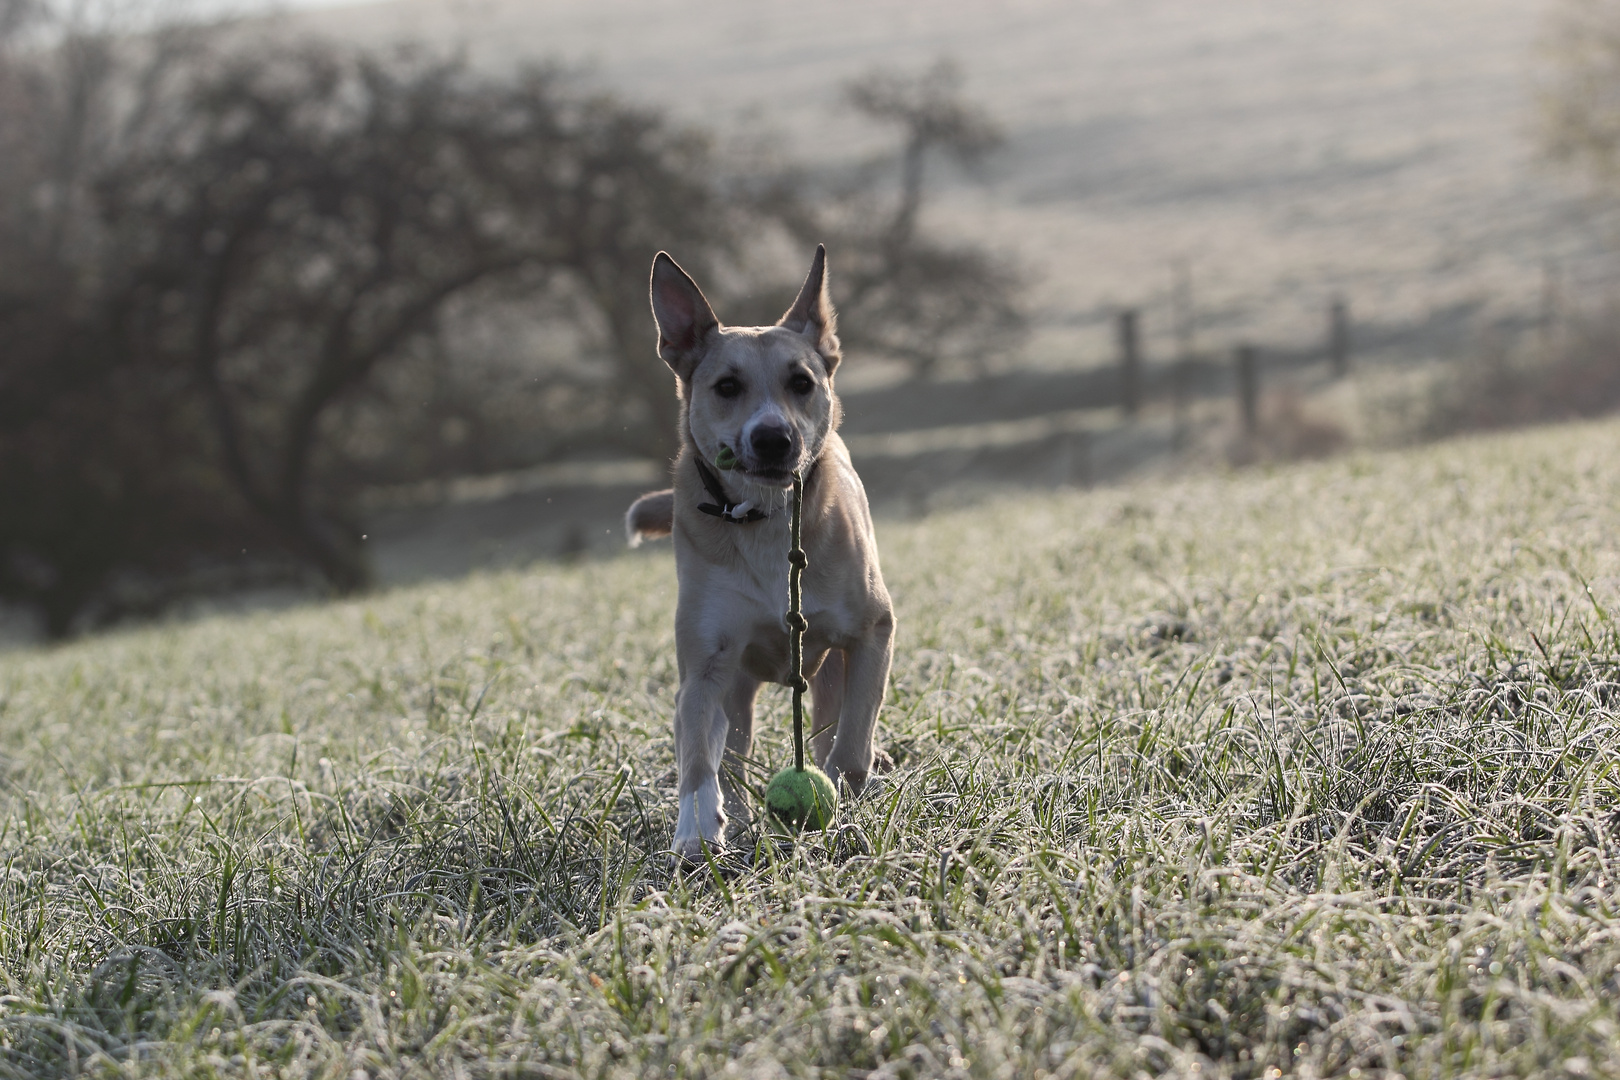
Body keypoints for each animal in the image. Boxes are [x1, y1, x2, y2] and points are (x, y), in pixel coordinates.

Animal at [622, 247, 900, 861]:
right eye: (726, 386)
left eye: (802, 382)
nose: (773, 438)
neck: (766, 516)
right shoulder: (706, 662)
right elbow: (699, 752)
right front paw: (696, 830)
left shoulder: (872, 630)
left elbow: (850, 739)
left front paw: (842, 795)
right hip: (739, 685)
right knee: (733, 746)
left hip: (830, 668)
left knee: (833, 722)